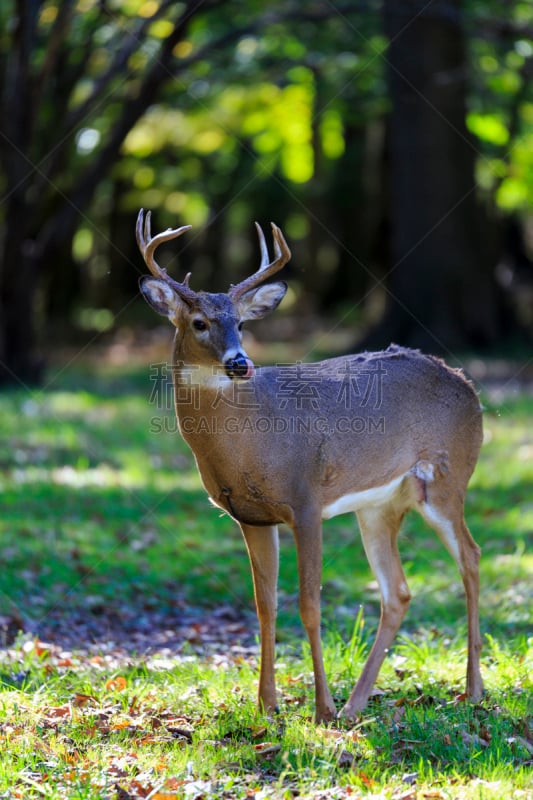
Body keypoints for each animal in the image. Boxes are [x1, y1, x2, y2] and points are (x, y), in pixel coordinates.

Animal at [135, 209, 484, 720]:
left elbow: (309, 604)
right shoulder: (251, 517)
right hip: (379, 506)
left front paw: (319, 709)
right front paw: (266, 706)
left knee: (471, 559)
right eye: (199, 322)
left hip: (447, 479)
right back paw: (356, 704)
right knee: (398, 591)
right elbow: (265, 604)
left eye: (241, 324)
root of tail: (469, 387)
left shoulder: (306, 501)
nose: (239, 363)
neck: (250, 438)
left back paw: (472, 690)